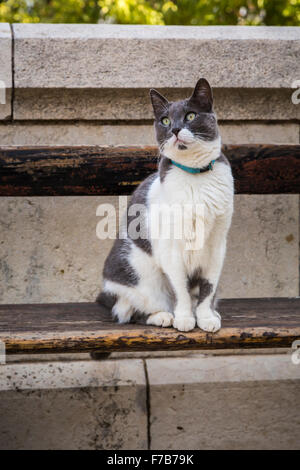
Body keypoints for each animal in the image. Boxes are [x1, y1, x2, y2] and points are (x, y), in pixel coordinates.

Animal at [97, 79, 233, 332]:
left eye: (190, 116)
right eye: (166, 120)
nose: (175, 129)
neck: (195, 176)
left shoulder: (217, 244)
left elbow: (208, 287)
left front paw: (205, 317)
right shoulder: (170, 248)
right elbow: (180, 288)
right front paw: (185, 318)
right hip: (136, 275)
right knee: (127, 311)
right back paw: (163, 316)